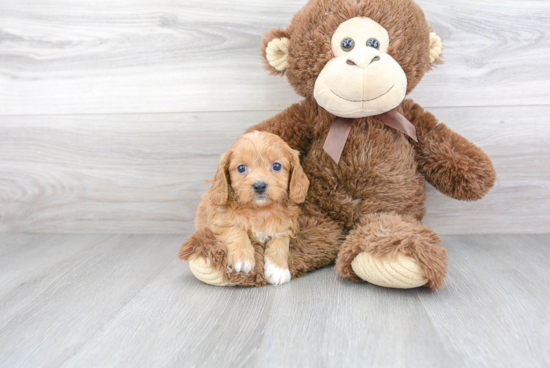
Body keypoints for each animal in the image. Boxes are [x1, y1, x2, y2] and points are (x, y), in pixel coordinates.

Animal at [196, 131, 310, 286]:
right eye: (241, 168)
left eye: (276, 166)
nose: (259, 186)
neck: (259, 210)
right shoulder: (219, 222)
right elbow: (235, 229)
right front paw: (242, 257)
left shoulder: (285, 225)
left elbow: (280, 242)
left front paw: (278, 269)